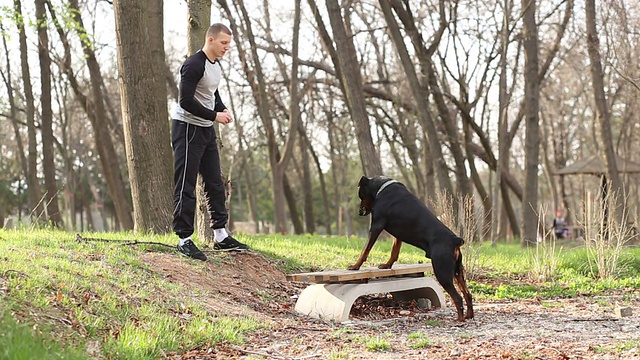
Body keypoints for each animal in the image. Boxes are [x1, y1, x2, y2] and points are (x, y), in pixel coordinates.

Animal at [352, 176, 472, 322]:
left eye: (360, 195)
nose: (359, 212)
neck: (382, 188)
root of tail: (455, 240)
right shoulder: (398, 234)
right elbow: (394, 251)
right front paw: (387, 265)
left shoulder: (376, 225)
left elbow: (365, 250)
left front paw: (355, 266)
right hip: (458, 271)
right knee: (467, 294)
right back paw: (469, 315)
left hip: (442, 271)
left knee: (458, 297)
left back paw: (460, 319)